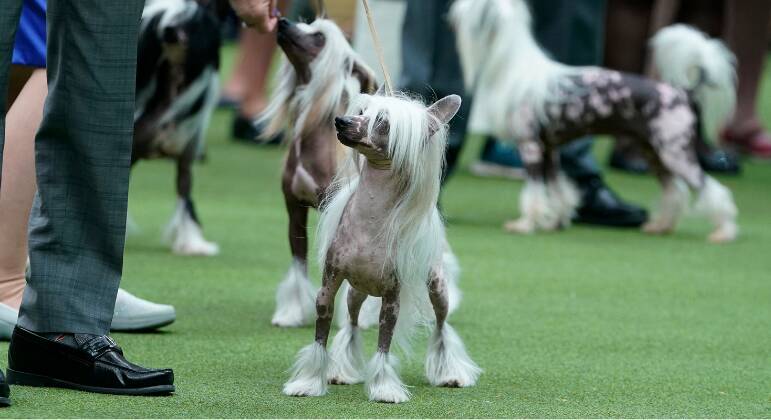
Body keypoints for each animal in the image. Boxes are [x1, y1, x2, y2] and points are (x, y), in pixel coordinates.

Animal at [280, 92, 480, 404]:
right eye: (362, 111)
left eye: (383, 122)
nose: (341, 121)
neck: (369, 221)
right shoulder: (328, 287)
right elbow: (320, 339)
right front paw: (309, 383)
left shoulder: (391, 297)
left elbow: (384, 345)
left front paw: (384, 388)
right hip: (355, 291)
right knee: (351, 321)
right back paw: (342, 370)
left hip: (437, 287)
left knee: (441, 325)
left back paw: (450, 373)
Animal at [452, 0, 740, 243]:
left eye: (473, 5)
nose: (454, 11)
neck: (514, 66)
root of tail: (681, 91)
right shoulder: (549, 150)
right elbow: (559, 190)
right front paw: (555, 222)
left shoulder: (531, 147)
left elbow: (534, 193)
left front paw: (525, 224)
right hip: (655, 154)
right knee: (674, 193)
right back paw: (661, 226)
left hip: (676, 154)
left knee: (713, 190)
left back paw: (723, 232)